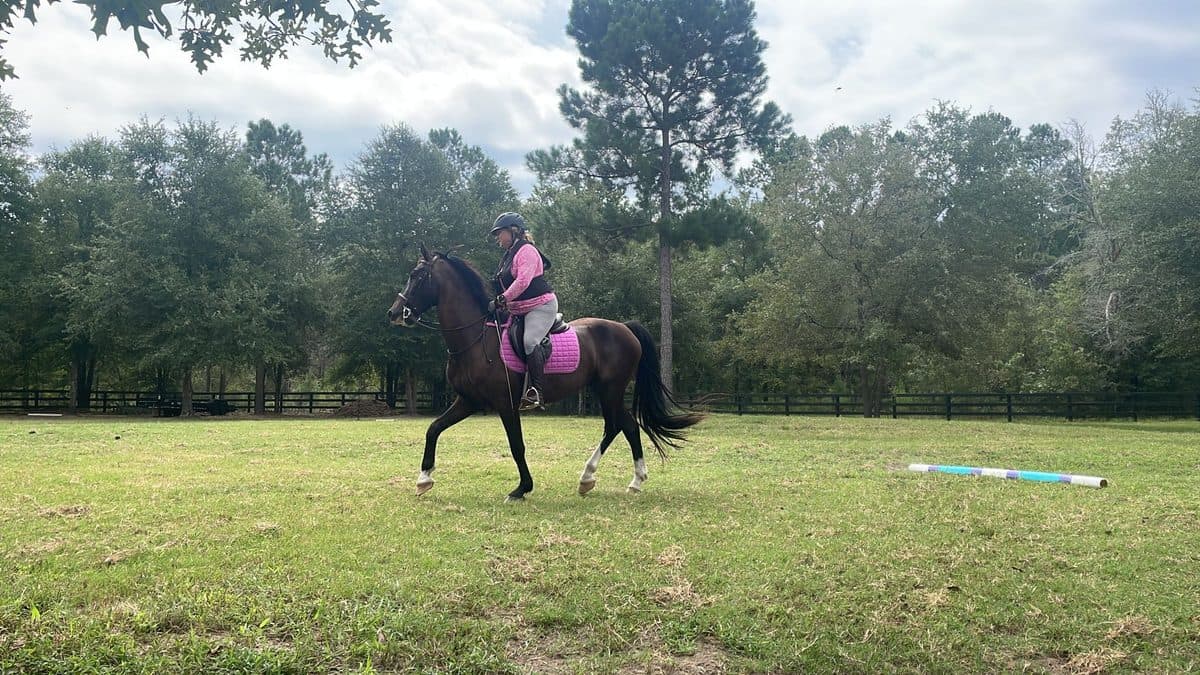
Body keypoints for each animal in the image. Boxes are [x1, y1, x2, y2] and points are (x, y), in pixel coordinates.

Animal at [385, 244, 703, 502]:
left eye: (416, 275)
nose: (394, 313)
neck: (475, 339)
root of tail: (624, 328)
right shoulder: (468, 401)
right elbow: (434, 428)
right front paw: (424, 479)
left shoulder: (506, 404)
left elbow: (517, 446)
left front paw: (522, 488)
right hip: (604, 390)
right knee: (626, 425)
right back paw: (619, 481)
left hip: (610, 390)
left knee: (617, 426)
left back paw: (599, 478)